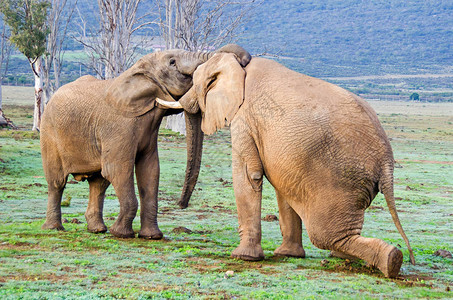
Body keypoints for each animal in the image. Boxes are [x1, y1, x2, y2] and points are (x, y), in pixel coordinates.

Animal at [38, 44, 251, 239]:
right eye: (172, 62)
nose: (181, 205)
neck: (137, 72)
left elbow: (150, 170)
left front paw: (151, 236)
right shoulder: (118, 127)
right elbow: (117, 169)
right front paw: (121, 234)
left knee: (98, 183)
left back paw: (97, 230)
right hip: (49, 132)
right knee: (57, 182)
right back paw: (54, 229)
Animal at [157, 52, 414, 278]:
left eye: (196, 81)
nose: (181, 205)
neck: (240, 64)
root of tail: (386, 161)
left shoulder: (245, 119)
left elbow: (249, 175)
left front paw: (243, 257)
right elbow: (283, 189)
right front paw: (287, 255)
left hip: (342, 180)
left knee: (325, 234)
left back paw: (390, 260)